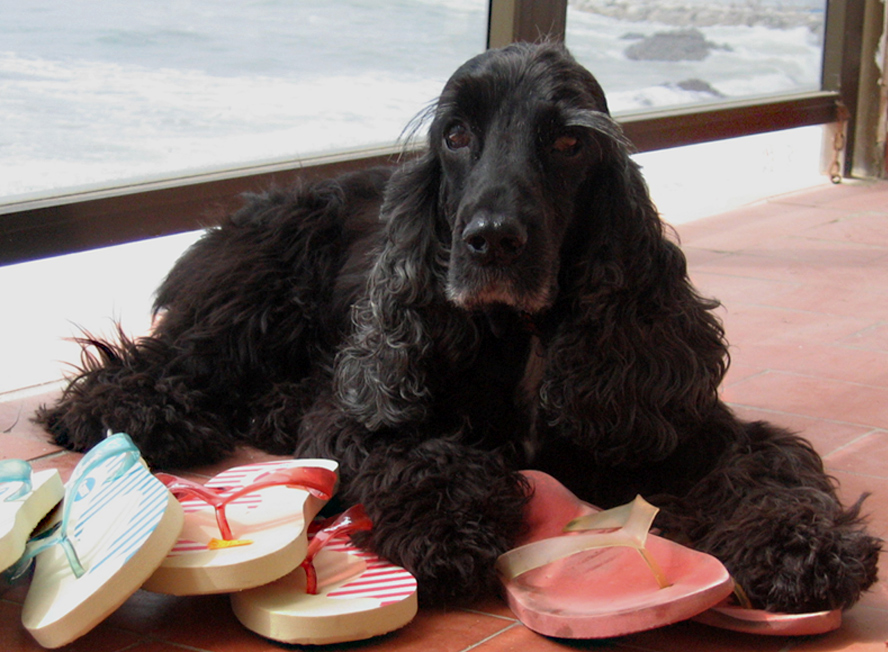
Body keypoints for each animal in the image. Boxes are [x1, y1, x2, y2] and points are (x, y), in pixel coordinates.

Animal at [38, 43, 876, 612]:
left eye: (569, 141)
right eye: (457, 134)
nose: (491, 239)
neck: (521, 339)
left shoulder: (679, 424)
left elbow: (769, 467)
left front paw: (800, 545)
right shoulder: (366, 407)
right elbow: (418, 451)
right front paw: (446, 526)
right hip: (261, 283)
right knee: (168, 357)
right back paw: (128, 407)